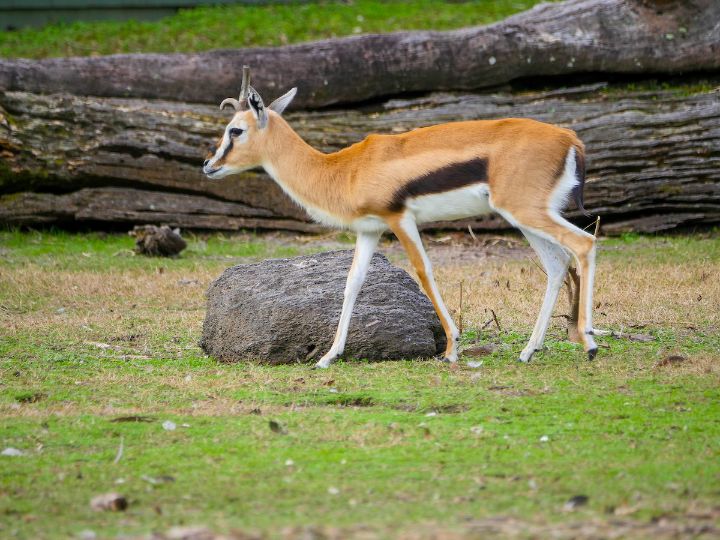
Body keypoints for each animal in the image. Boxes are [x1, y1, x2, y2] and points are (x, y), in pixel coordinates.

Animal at [203, 68, 599, 368]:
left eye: (235, 130)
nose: (208, 165)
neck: (345, 170)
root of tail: (570, 137)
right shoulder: (370, 231)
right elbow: (352, 284)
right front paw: (328, 357)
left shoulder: (400, 220)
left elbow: (424, 271)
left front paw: (451, 348)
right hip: (525, 217)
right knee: (557, 264)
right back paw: (529, 351)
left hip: (526, 212)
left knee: (584, 243)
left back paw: (590, 344)